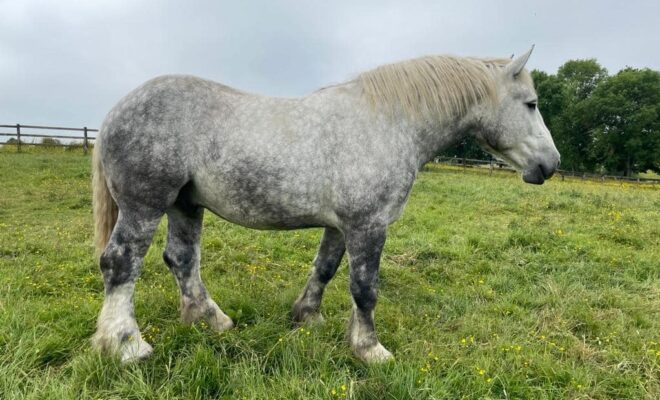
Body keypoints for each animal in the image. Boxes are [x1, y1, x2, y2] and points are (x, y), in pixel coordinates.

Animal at [90, 46, 560, 362]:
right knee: (121, 264)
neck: (389, 124)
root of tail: (114, 111)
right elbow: (365, 288)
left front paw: (307, 318)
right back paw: (127, 345)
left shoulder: (340, 226)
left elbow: (326, 270)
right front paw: (370, 349)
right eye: (531, 104)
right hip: (145, 205)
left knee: (181, 260)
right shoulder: (368, 225)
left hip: (185, 205)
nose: (551, 164)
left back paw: (212, 321)